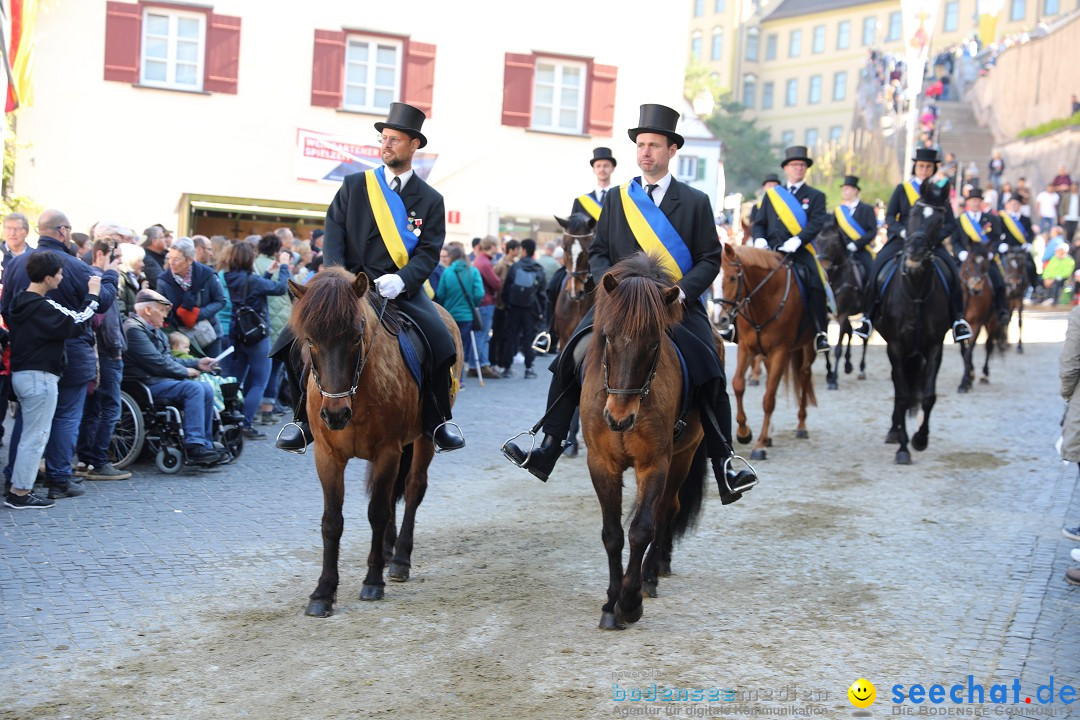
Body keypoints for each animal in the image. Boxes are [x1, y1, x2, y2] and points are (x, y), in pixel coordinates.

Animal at [287, 267, 460, 617]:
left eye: (356, 336)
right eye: (310, 340)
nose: (335, 415)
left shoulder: (387, 451)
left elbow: (377, 511)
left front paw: (373, 581)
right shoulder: (327, 456)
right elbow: (332, 521)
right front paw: (323, 592)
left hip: (421, 439)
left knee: (413, 487)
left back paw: (399, 559)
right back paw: (388, 550)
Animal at [583, 253, 708, 630]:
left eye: (654, 343)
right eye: (608, 337)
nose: (618, 418)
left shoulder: (655, 464)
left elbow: (641, 529)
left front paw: (629, 601)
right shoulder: (601, 463)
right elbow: (612, 534)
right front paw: (611, 605)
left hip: (684, 455)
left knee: (668, 508)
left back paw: (651, 575)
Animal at [717, 245, 816, 462]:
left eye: (733, 278)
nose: (720, 319)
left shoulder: (780, 351)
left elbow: (768, 399)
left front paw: (760, 445)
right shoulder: (746, 348)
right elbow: (738, 384)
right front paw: (744, 433)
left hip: (807, 346)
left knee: (804, 375)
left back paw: (801, 425)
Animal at [872, 177, 950, 464]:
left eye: (940, 219)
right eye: (915, 213)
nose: (915, 251)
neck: (916, 291)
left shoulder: (935, 346)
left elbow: (928, 396)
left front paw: (920, 439)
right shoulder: (896, 346)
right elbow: (904, 395)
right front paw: (904, 448)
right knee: (898, 387)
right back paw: (895, 432)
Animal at [963, 248, 1002, 395]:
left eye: (985, 264)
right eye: (969, 262)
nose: (976, 288)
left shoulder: (976, 324)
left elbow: (969, 351)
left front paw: (965, 383)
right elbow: (964, 351)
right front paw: (969, 375)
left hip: (992, 323)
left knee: (989, 345)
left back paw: (985, 375)